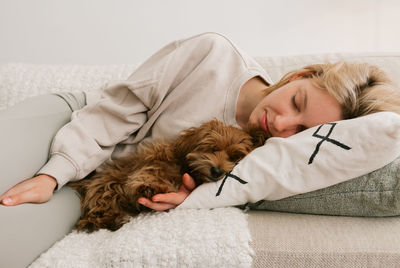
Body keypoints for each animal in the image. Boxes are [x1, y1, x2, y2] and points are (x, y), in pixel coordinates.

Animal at [69, 120, 266, 232]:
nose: (216, 171)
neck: (185, 168)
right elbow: (153, 171)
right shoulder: (156, 159)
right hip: (108, 185)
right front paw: (149, 187)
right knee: (96, 210)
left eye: (235, 157)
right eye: (213, 148)